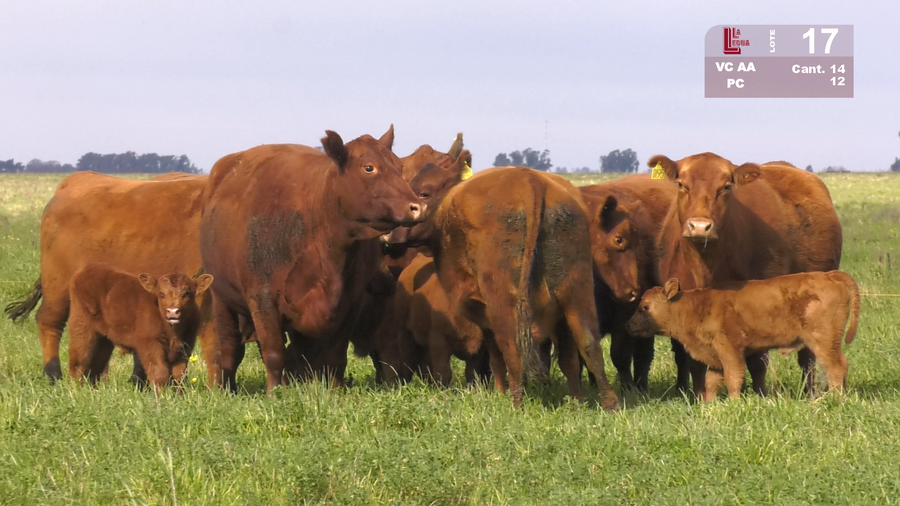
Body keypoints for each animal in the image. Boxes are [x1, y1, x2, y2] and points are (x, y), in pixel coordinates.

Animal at [66, 263, 213, 387]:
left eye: (187, 293)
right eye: (161, 294)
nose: (172, 311)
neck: (173, 334)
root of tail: (88, 269)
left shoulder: (186, 345)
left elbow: (179, 374)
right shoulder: (149, 343)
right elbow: (160, 373)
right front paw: (162, 398)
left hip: (103, 338)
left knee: (97, 364)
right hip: (81, 328)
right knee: (78, 362)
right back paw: (77, 390)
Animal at [199, 127, 425, 393]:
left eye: (399, 166)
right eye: (369, 168)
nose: (417, 207)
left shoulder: (351, 303)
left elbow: (335, 356)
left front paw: (335, 391)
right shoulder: (262, 300)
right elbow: (273, 353)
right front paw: (274, 393)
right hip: (222, 298)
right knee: (230, 349)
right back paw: (228, 389)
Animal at [385, 166, 620, 410]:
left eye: (423, 193)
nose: (389, 235)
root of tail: (529, 179)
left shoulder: (483, 314)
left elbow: (495, 359)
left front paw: (499, 393)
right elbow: (570, 360)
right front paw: (577, 401)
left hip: (505, 305)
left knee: (513, 353)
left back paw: (516, 405)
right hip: (576, 294)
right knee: (589, 343)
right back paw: (607, 404)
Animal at [626, 272, 860, 399]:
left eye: (645, 307)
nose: (629, 326)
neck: (693, 307)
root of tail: (829, 275)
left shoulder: (730, 351)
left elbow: (734, 378)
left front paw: (734, 403)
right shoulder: (715, 357)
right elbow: (712, 383)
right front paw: (710, 406)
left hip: (824, 342)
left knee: (836, 367)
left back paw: (835, 399)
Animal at [651, 153, 843, 397]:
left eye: (726, 187)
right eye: (681, 185)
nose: (700, 226)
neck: (704, 264)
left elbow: (757, 360)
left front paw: (760, 395)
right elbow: (696, 362)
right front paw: (698, 396)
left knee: (807, 356)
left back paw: (807, 392)